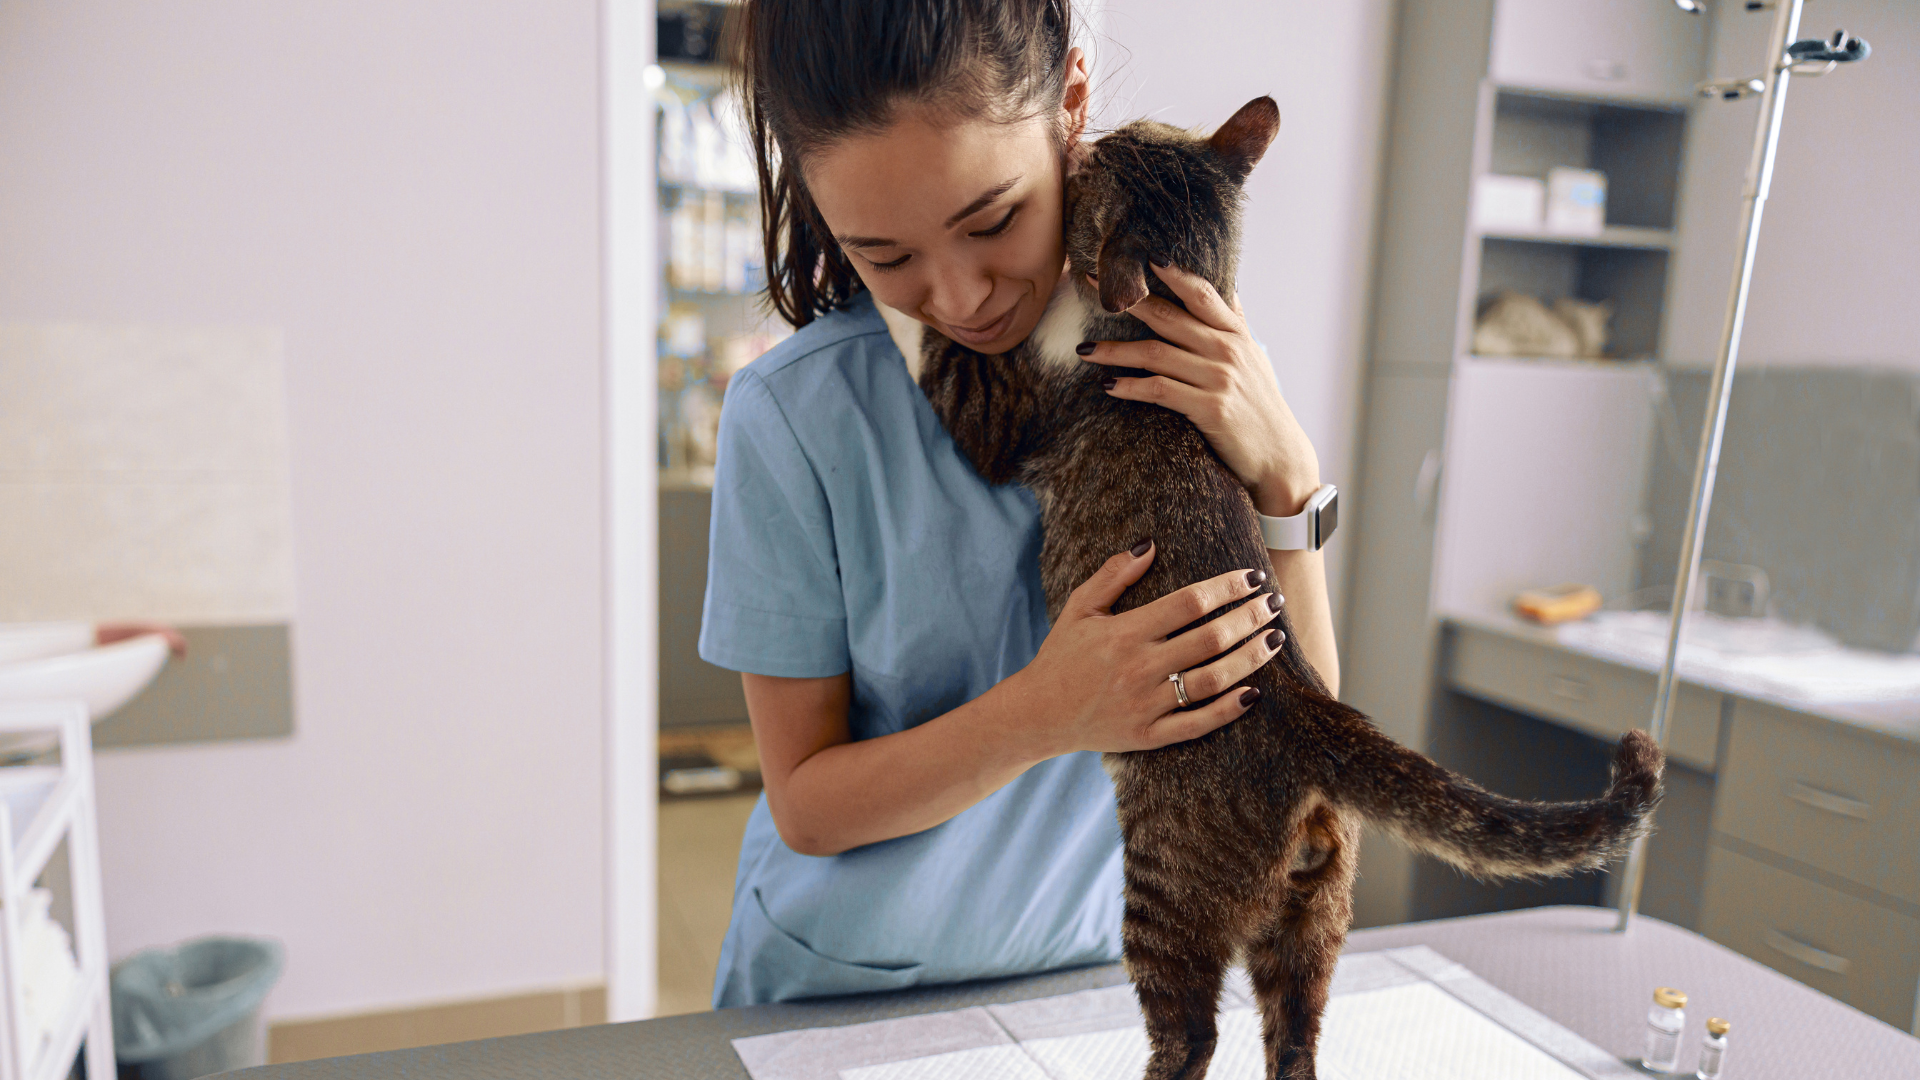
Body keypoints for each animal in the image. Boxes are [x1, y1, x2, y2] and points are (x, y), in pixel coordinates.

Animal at [902, 94, 1666, 1076]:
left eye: (1097, 166)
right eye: (1122, 140)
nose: (1085, 138)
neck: (1164, 312)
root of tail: (1309, 708)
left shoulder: (1005, 419)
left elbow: (952, 363)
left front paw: (893, 293)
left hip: (1165, 891)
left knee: (1191, 1031)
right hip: (1314, 919)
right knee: (1296, 1040)